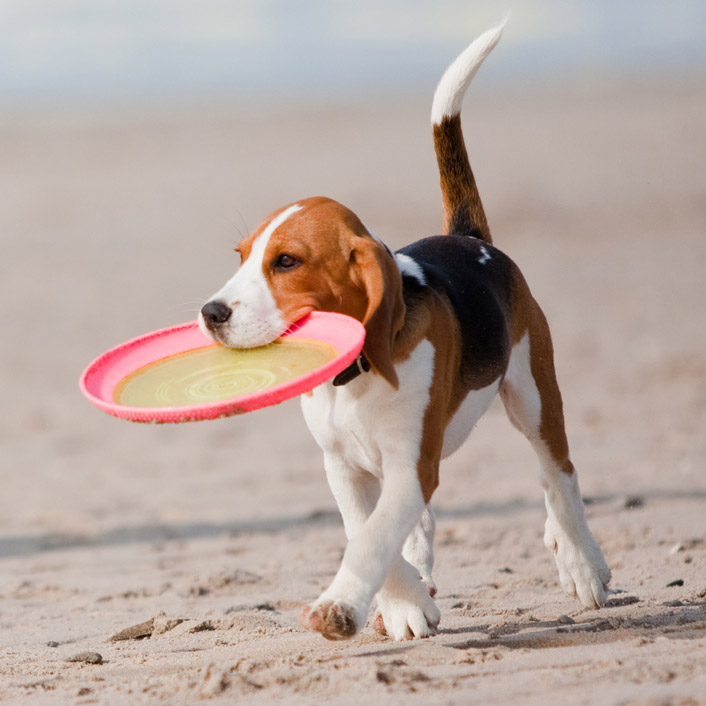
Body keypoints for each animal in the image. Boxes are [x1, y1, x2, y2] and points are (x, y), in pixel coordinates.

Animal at [199, 22, 612, 640]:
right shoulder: (344, 466)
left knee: (558, 474)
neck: (354, 377)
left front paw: (339, 606)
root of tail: (470, 238)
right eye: (242, 255)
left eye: (287, 262)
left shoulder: (414, 462)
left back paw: (581, 561)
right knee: (428, 523)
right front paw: (405, 602)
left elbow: (372, 538)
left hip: (534, 393)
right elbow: (366, 529)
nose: (211, 312)